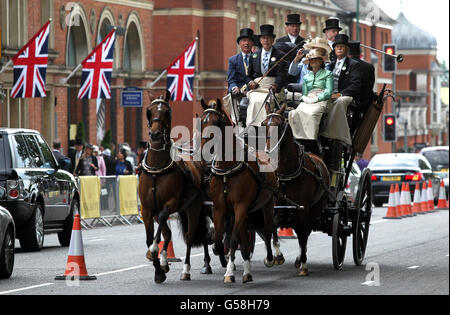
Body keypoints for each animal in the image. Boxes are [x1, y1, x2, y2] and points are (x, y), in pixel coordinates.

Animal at [138, 90, 214, 284]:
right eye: (149, 111)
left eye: (167, 112)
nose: (155, 134)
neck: (157, 170)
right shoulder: (147, 210)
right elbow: (150, 237)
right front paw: (158, 270)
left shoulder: (170, 203)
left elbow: (160, 226)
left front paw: (154, 251)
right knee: (168, 234)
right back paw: (166, 261)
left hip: (194, 207)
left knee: (190, 236)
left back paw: (187, 269)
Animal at [200, 98, 278, 284]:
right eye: (202, 121)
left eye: (217, 122)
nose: (204, 149)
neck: (227, 170)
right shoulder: (219, 208)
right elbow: (220, 243)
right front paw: (228, 264)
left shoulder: (240, 206)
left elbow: (234, 240)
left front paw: (229, 273)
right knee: (244, 238)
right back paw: (246, 271)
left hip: (266, 206)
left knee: (268, 230)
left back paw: (271, 258)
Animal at [260, 103, 330, 276]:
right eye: (263, 124)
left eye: (279, 125)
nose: (268, 152)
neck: (286, 172)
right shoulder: (274, 203)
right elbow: (272, 226)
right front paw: (276, 256)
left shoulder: (303, 207)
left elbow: (302, 233)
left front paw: (303, 263)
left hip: (315, 207)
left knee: (306, 230)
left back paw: (301, 259)